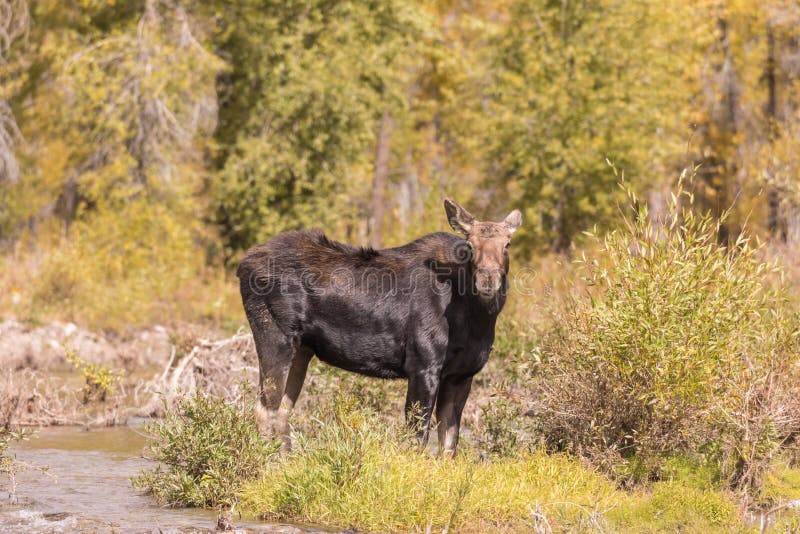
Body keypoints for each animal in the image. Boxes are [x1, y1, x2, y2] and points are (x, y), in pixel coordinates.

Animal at [236, 198, 521, 455]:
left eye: (507, 244)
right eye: (470, 245)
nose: (488, 279)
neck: (475, 320)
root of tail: (242, 265)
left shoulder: (461, 375)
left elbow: (449, 445)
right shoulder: (423, 367)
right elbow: (417, 438)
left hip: (302, 350)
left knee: (282, 410)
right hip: (275, 336)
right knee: (264, 408)